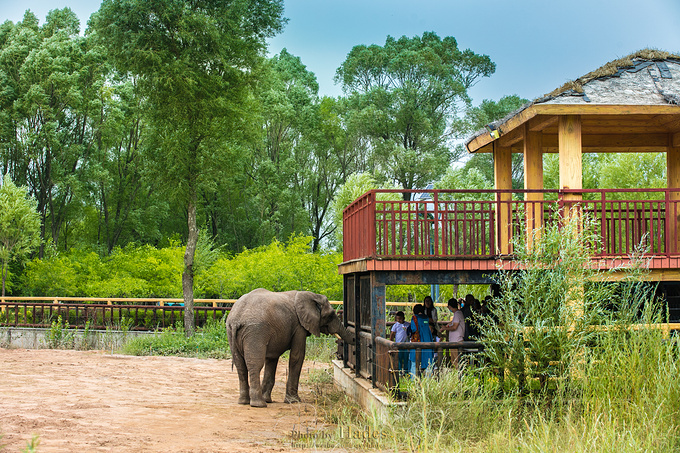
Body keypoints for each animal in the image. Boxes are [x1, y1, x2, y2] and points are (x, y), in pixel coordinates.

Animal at [228, 288, 356, 408]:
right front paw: (294, 401)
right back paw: (259, 404)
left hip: (231, 331)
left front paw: (268, 399)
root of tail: (236, 320)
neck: (310, 295)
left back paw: (244, 402)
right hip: (255, 331)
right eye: (331, 315)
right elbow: (297, 356)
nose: (355, 339)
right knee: (255, 365)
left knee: (240, 365)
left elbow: (272, 359)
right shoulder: (299, 326)